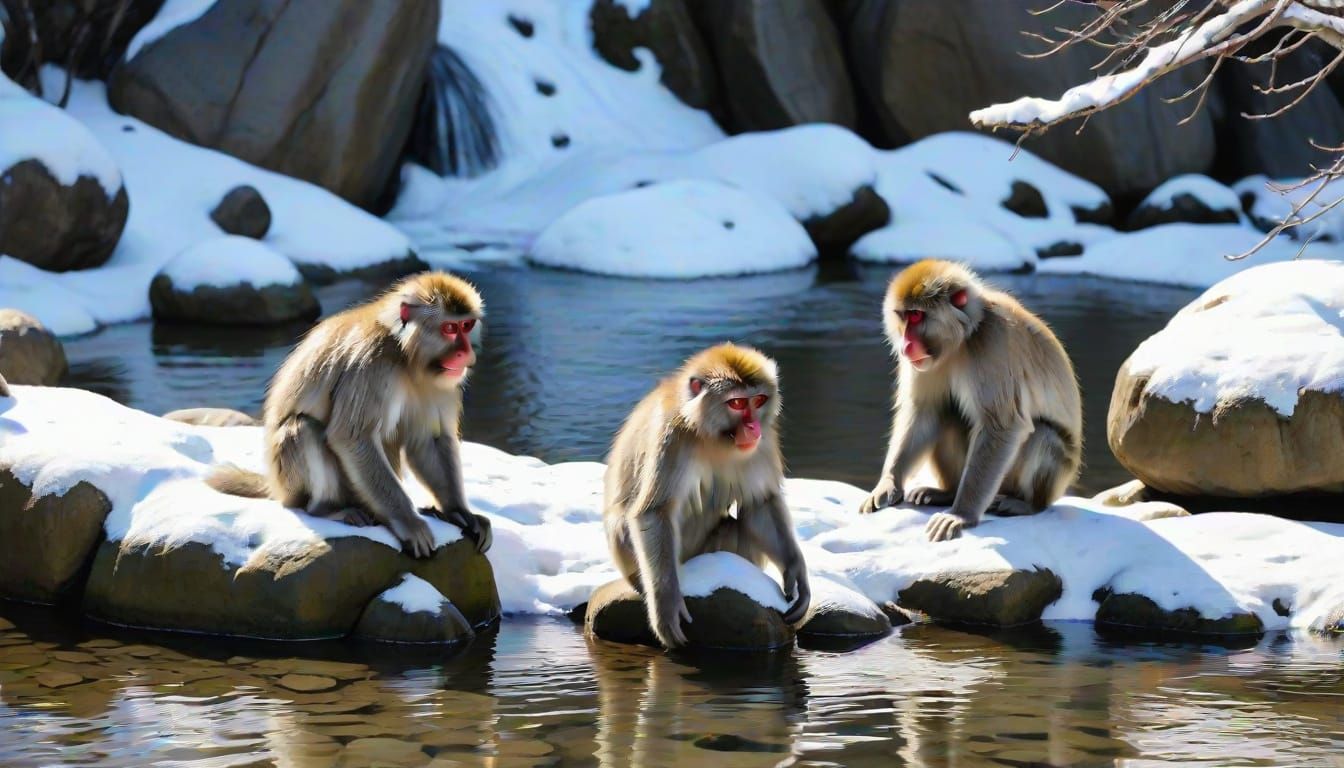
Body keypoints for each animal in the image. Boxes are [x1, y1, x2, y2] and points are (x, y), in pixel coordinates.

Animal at [207, 271, 492, 559]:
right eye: (450, 328)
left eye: (466, 325)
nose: (466, 352)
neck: (405, 355)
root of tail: (276, 487)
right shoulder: (372, 364)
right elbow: (352, 437)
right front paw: (409, 523)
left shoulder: (442, 381)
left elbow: (429, 440)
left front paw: (458, 512)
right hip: (291, 484)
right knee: (304, 428)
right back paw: (326, 509)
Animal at [603, 343, 811, 649]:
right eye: (737, 403)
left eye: (759, 400)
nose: (753, 427)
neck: (711, 435)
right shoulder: (672, 437)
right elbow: (654, 512)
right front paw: (665, 606)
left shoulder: (762, 443)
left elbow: (759, 503)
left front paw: (796, 574)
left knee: (733, 527)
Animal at [859, 259, 1082, 542]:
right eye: (903, 317)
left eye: (917, 316)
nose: (906, 345)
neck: (962, 341)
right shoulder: (925, 362)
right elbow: (923, 411)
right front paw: (888, 483)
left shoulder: (992, 344)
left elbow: (1001, 426)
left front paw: (961, 515)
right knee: (947, 414)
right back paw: (947, 493)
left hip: (1048, 475)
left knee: (1043, 434)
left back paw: (1028, 504)